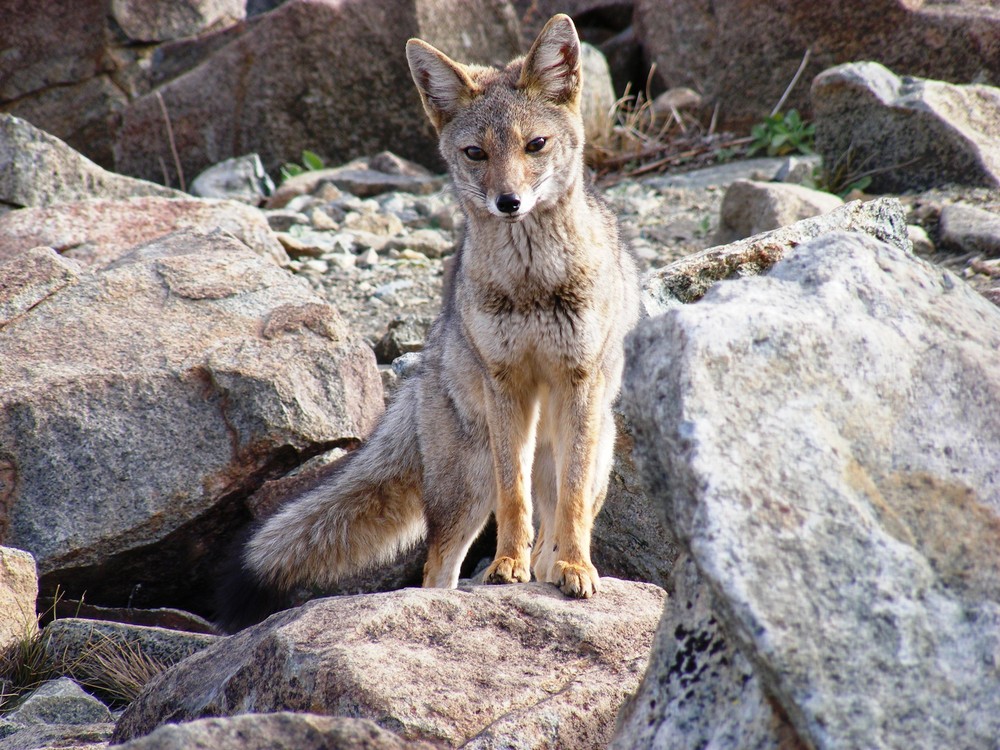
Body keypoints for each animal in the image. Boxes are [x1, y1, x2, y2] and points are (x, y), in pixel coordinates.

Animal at [219, 13, 640, 636]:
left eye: (535, 145)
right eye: (475, 153)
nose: (508, 202)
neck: (533, 285)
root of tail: (423, 370)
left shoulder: (580, 381)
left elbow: (567, 508)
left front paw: (577, 570)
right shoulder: (505, 383)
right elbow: (514, 500)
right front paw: (506, 567)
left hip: (591, 458)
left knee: (560, 509)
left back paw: (553, 566)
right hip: (468, 488)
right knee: (437, 570)